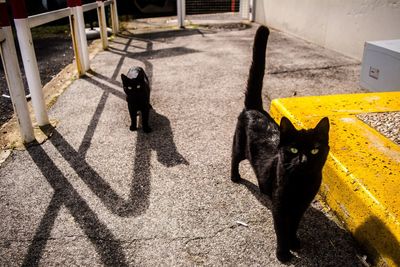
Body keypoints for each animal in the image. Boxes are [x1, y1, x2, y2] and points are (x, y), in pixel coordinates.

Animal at [230, 25, 330, 264]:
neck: (301, 185)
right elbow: (282, 230)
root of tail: (255, 108)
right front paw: (283, 253)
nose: (303, 160)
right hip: (238, 145)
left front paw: (295, 242)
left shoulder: (301, 207)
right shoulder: (280, 208)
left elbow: (294, 226)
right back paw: (235, 177)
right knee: (234, 159)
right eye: (293, 149)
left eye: (315, 149)